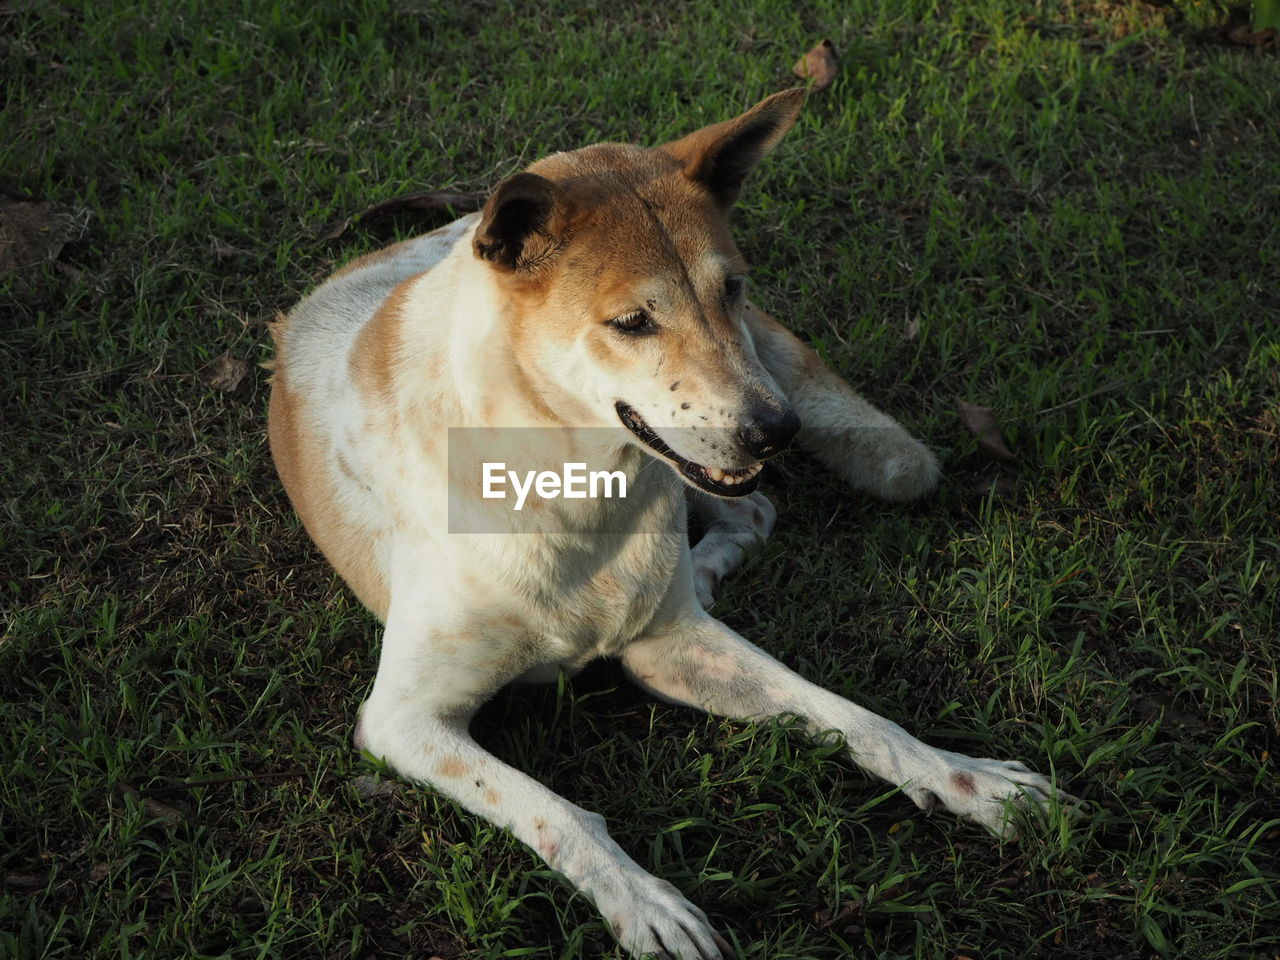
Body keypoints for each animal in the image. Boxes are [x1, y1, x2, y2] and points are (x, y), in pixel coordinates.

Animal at [270, 88, 1070, 957]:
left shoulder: (671, 647)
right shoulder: (404, 722)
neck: (571, 484)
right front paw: (644, 899)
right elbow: (551, 809)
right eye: (631, 322)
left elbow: (848, 712)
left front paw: (970, 779)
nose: (777, 430)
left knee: (753, 508)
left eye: (734, 288)